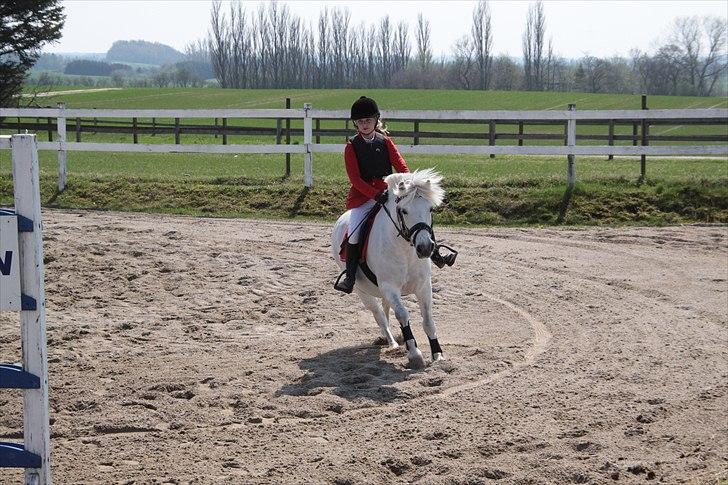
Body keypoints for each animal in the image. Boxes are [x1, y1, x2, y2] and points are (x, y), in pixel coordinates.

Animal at [332, 167, 446, 366]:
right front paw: (414, 354)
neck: (405, 249)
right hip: (363, 292)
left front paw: (437, 354)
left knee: (385, 310)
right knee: (379, 315)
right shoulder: (390, 287)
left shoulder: (424, 286)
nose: (425, 248)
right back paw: (392, 342)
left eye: (430, 209)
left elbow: (428, 319)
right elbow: (402, 315)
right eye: (404, 211)